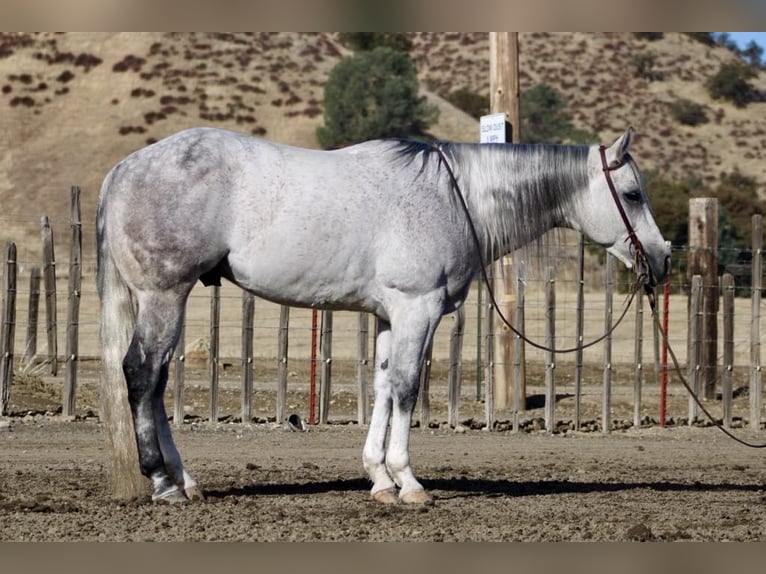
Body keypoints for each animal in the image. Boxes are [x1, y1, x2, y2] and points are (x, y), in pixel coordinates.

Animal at [97, 126, 671, 504]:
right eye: (632, 194)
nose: (662, 259)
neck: (454, 196)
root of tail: (121, 171)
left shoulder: (391, 316)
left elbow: (383, 387)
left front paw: (379, 480)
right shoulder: (419, 308)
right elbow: (409, 388)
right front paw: (408, 482)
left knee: (155, 382)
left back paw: (186, 480)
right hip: (164, 296)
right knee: (142, 375)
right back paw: (163, 482)